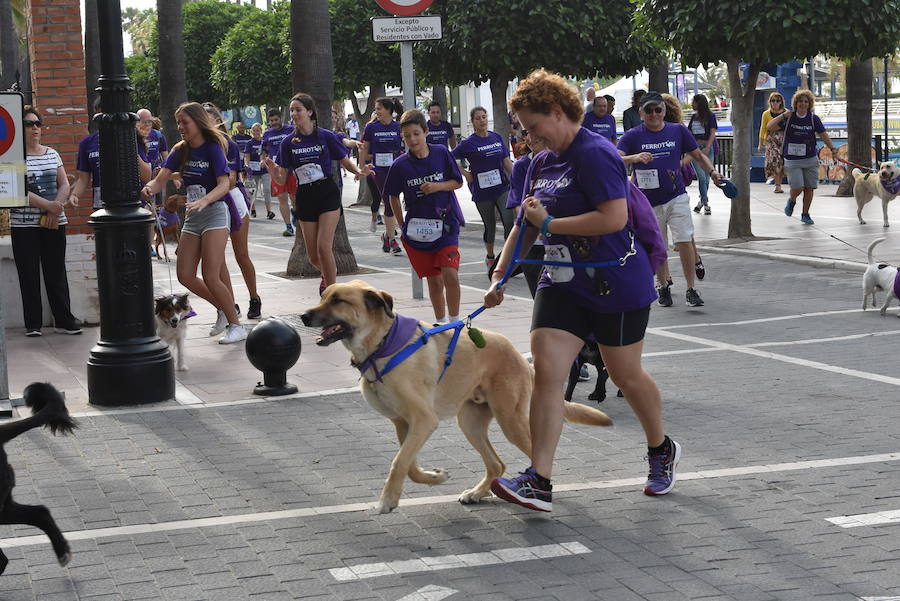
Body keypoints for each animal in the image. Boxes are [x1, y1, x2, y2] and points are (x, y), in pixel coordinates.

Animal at [302, 280, 612, 510]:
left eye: (338, 300)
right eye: (324, 296)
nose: (304, 316)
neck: (383, 344)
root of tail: (521, 358)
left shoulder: (424, 420)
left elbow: (399, 461)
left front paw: (387, 501)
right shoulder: (404, 423)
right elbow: (409, 464)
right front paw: (435, 477)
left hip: (510, 421)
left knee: (538, 453)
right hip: (471, 423)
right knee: (497, 464)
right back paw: (478, 493)